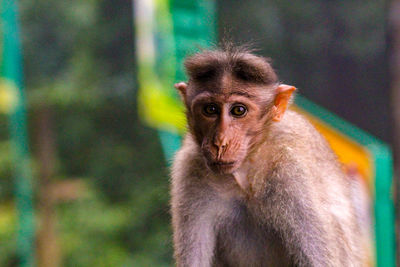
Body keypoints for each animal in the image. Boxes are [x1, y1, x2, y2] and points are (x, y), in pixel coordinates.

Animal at [170, 47, 364, 266]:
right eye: (210, 109)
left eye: (238, 110)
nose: (220, 142)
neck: (246, 171)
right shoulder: (190, 170)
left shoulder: (291, 173)